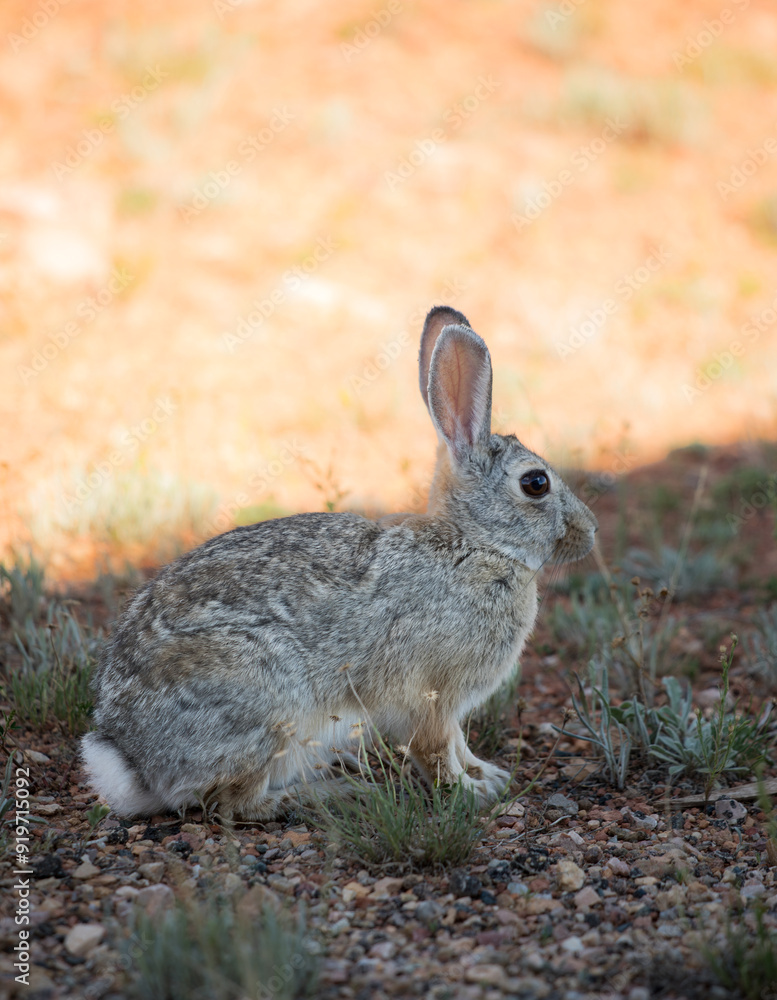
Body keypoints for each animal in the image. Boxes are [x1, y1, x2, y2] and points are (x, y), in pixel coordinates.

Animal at [81, 305, 598, 820]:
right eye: (535, 483)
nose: (589, 531)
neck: (475, 543)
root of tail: (132, 761)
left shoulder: (449, 707)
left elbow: (459, 743)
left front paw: (489, 776)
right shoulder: (427, 695)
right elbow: (436, 750)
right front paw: (469, 793)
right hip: (270, 707)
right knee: (233, 803)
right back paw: (334, 792)